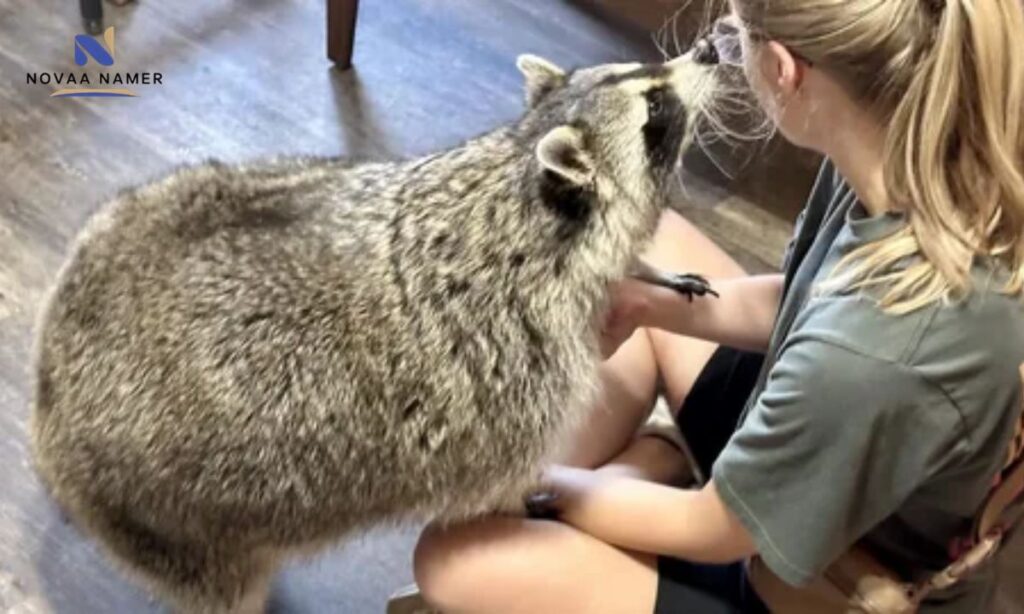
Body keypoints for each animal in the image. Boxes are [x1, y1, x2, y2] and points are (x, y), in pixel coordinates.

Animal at [30, 51, 719, 613]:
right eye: (655, 107)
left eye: (639, 70)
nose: (710, 49)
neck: (519, 182)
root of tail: (48, 380)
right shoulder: (516, 389)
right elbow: (503, 484)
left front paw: (646, 271)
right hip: (171, 527)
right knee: (226, 590)